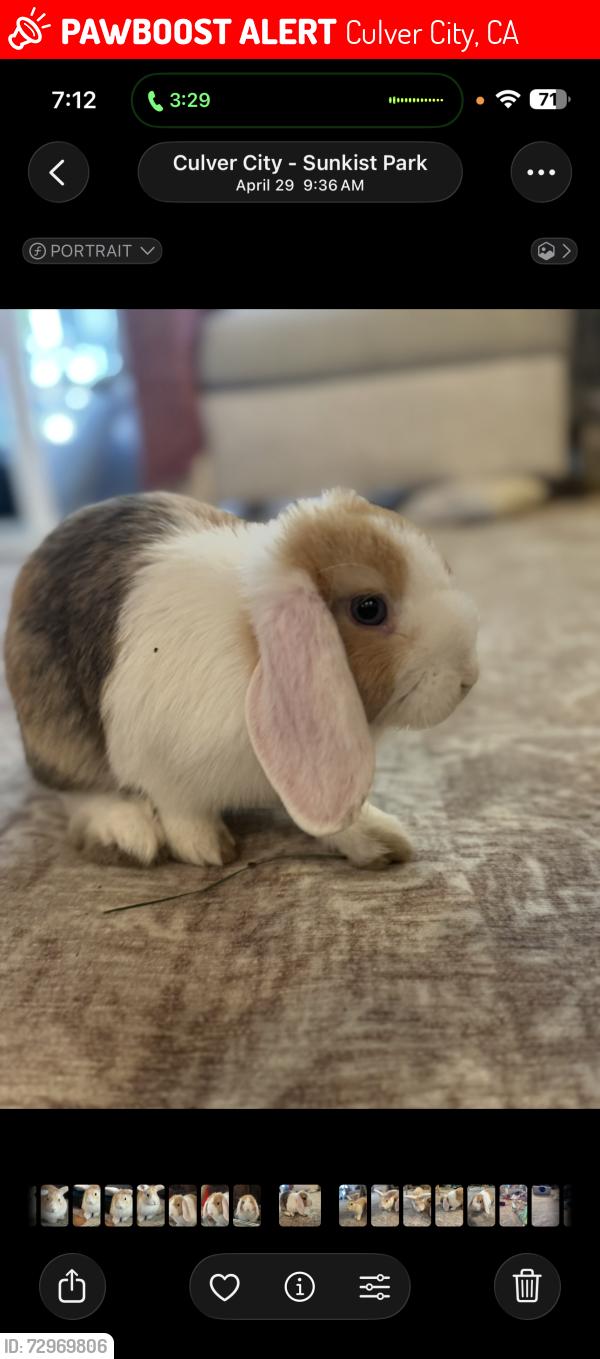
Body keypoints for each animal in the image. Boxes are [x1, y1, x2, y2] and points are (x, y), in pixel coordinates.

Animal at [4, 489, 479, 870]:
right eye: (369, 609)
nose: (469, 679)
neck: (254, 647)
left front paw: (381, 841)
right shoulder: (156, 760)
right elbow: (179, 807)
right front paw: (207, 848)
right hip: (56, 728)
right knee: (76, 789)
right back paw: (127, 834)